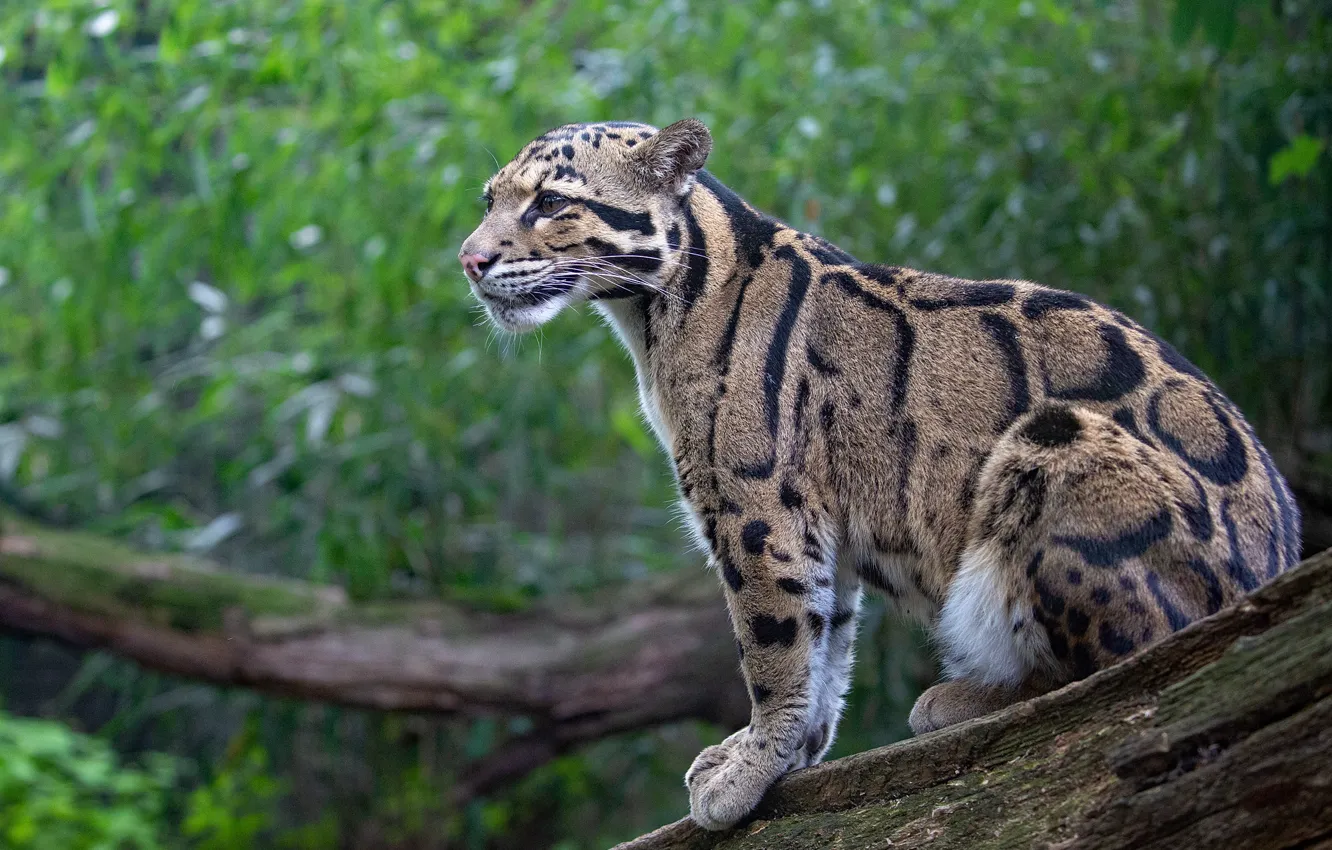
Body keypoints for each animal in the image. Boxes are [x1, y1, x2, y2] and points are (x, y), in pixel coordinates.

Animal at [458, 119, 1301, 831]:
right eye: (490, 199)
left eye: (551, 202)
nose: (470, 259)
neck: (654, 315)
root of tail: (1272, 561)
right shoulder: (807, 520)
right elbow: (825, 641)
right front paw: (786, 753)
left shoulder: (756, 507)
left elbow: (773, 645)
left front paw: (749, 767)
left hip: (1056, 442)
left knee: (1137, 659)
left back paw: (970, 697)